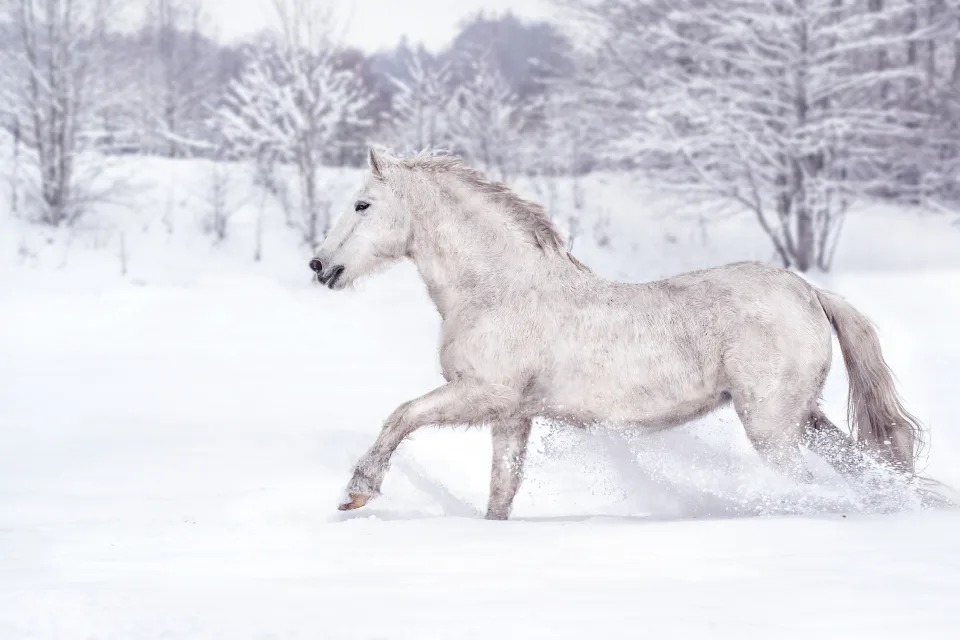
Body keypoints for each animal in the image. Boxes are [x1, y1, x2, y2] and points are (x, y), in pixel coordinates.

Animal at [309, 147, 925, 520]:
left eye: (362, 204)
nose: (320, 266)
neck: (499, 288)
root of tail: (809, 292)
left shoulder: (483, 394)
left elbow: (400, 416)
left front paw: (357, 492)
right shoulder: (512, 416)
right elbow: (501, 491)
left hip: (771, 425)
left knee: (805, 485)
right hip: (804, 419)